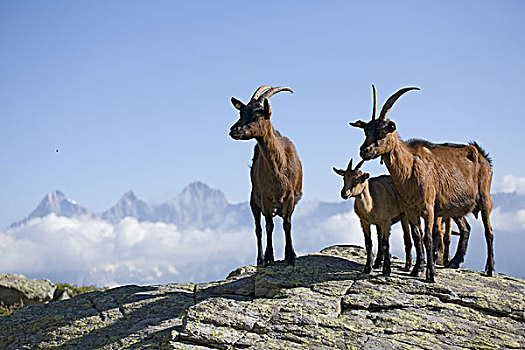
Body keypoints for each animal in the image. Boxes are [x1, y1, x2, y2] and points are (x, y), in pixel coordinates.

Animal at [229, 85, 302, 266]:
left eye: (258, 114)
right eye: (241, 112)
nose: (234, 130)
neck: (279, 171)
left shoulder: (290, 196)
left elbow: (287, 224)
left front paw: (291, 256)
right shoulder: (265, 197)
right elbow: (269, 226)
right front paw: (269, 257)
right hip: (253, 201)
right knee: (258, 229)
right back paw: (260, 258)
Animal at [350, 86, 494, 284]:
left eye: (383, 131)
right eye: (366, 131)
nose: (364, 151)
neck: (409, 167)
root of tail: (483, 156)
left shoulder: (429, 206)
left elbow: (428, 238)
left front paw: (430, 274)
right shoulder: (410, 208)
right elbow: (417, 236)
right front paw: (417, 268)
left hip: (485, 197)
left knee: (489, 232)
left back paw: (490, 269)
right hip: (456, 208)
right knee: (466, 228)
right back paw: (454, 262)